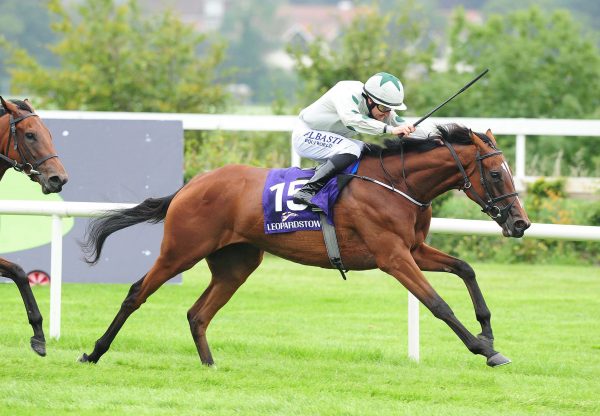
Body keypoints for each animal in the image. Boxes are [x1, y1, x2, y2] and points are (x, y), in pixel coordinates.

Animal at [79, 123, 528, 368]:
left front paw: (488, 332)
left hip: (236, 264)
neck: (397, 185)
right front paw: (484, 349)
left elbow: (465, 268)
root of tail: (191, 185)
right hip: (181, 250)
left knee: (198, 313)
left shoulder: (414, 249)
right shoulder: (393, 256)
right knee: (137, 292)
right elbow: (438, 304)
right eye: (495, 174)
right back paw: (94, 352)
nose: (520, 223)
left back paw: (209, 365)